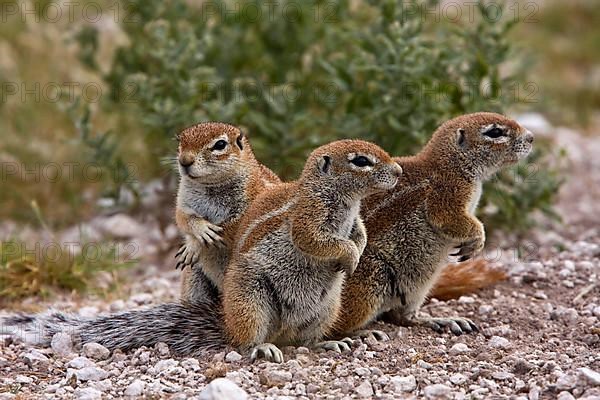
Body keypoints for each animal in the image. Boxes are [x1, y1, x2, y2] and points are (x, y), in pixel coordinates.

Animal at [171, 122, 278, 304]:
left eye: (220, 144)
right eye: (180, 142)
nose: (184, 161)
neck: (209, 186)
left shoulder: (250, 206)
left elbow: (232, 228)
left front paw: (197, 243)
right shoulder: (183, 203)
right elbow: (184, 219)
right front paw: (195, 238)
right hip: (194, 276)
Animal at [223, 139, 400, 360]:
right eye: (361, 161)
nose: (399, 171)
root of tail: (283, 331)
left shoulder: (355, 221)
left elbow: (361, 235)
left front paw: (356, 255)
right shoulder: (309, 214)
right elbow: (313, 239)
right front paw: (350, 256)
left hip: (328, 307)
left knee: (306, 340)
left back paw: (328, 344)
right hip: (249, 297)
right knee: (246, 339)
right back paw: (261, 347)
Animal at [332, 113, 536, 338]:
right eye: (495, 132)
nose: (531, 137)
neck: (452, 164)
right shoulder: (448, 193)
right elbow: (449, 219)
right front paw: (478, 239)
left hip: (419, 286)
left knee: (401, 317)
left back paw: (441, 320)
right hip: (370, 277)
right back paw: (358, 334)